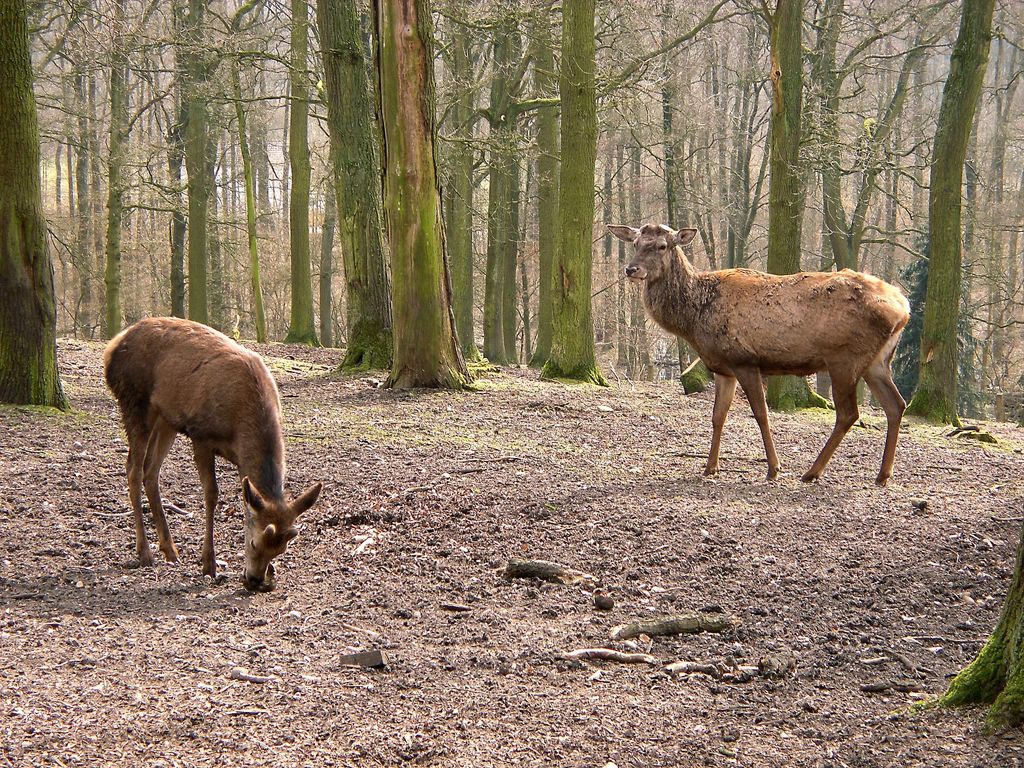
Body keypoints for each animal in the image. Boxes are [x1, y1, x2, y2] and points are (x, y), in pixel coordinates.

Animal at [102, 315, 319, 593]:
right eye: (254, 543)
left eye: (281, 549)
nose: (254, 580)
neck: (240, 421)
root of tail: (113, 347)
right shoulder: (201, 435)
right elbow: (211, 494)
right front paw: (209, 563)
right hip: (134, 403)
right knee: (133, 468)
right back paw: (145, 552)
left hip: (166, 418)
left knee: (151, 470)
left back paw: (170, 550)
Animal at [606, 224, 913, 487]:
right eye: (635, 243)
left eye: (661, 246)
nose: (631, 269)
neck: (694, 319)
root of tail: (904, 308)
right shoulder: (723, 368)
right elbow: (718, 416)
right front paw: (710, 467)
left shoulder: (745, 361)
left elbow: (761, 413)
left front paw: (773, 468)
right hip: (876, 362)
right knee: (896, 405)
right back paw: (883, 475)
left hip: (844, 359)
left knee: (849, 413)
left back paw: (812, 472)